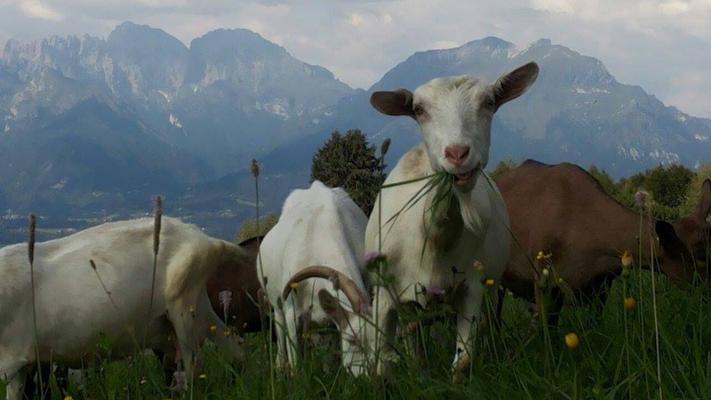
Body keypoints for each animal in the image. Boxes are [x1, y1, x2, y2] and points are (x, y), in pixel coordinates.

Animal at [0, 217, 246, 400]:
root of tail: (207, 240)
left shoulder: (13, 361)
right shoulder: (20, 366)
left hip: (184, 310)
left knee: (196, 367)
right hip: (199, 308)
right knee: (235, 346)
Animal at [258, 181, 372, 375]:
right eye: (352, 340)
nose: (377, 378)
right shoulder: (291, 312)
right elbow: (295, 357)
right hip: (276, 303)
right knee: (280, 332)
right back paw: (280, 365)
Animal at [365, 62, 539, 378]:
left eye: (489, 102)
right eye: (419, 109)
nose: (457, 154)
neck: (434, 240)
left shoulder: (472, 287)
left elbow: (464, 361)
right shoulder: (383, 294)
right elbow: (381, 368)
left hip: (491, 287)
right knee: (412, 338)